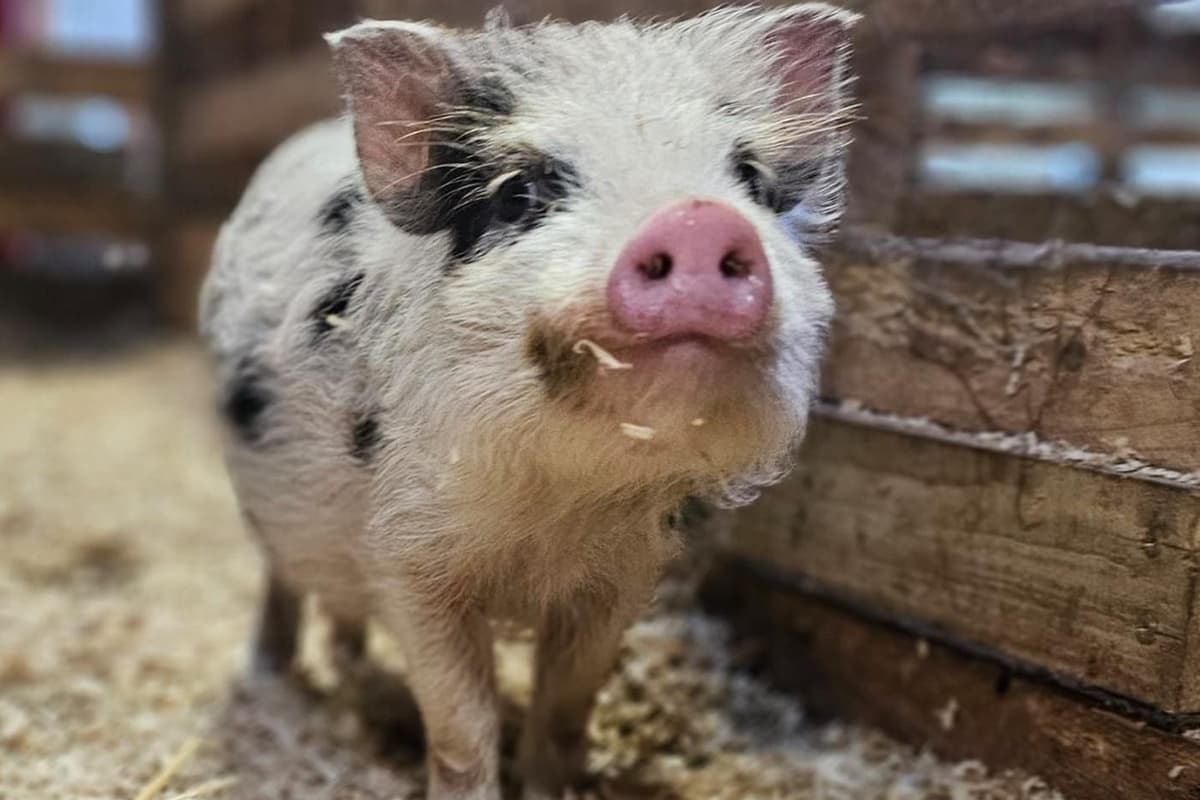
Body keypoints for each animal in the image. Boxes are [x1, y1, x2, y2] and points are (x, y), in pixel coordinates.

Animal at [198, 5, 855, 798]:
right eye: (521, 194)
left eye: (749, 179)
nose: (697, 219)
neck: (563, 503)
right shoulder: (409, 561)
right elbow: (462, 724)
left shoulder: (623, 576)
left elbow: (567, 707)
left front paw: (556, 783)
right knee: (283, 585)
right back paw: (271, 679)